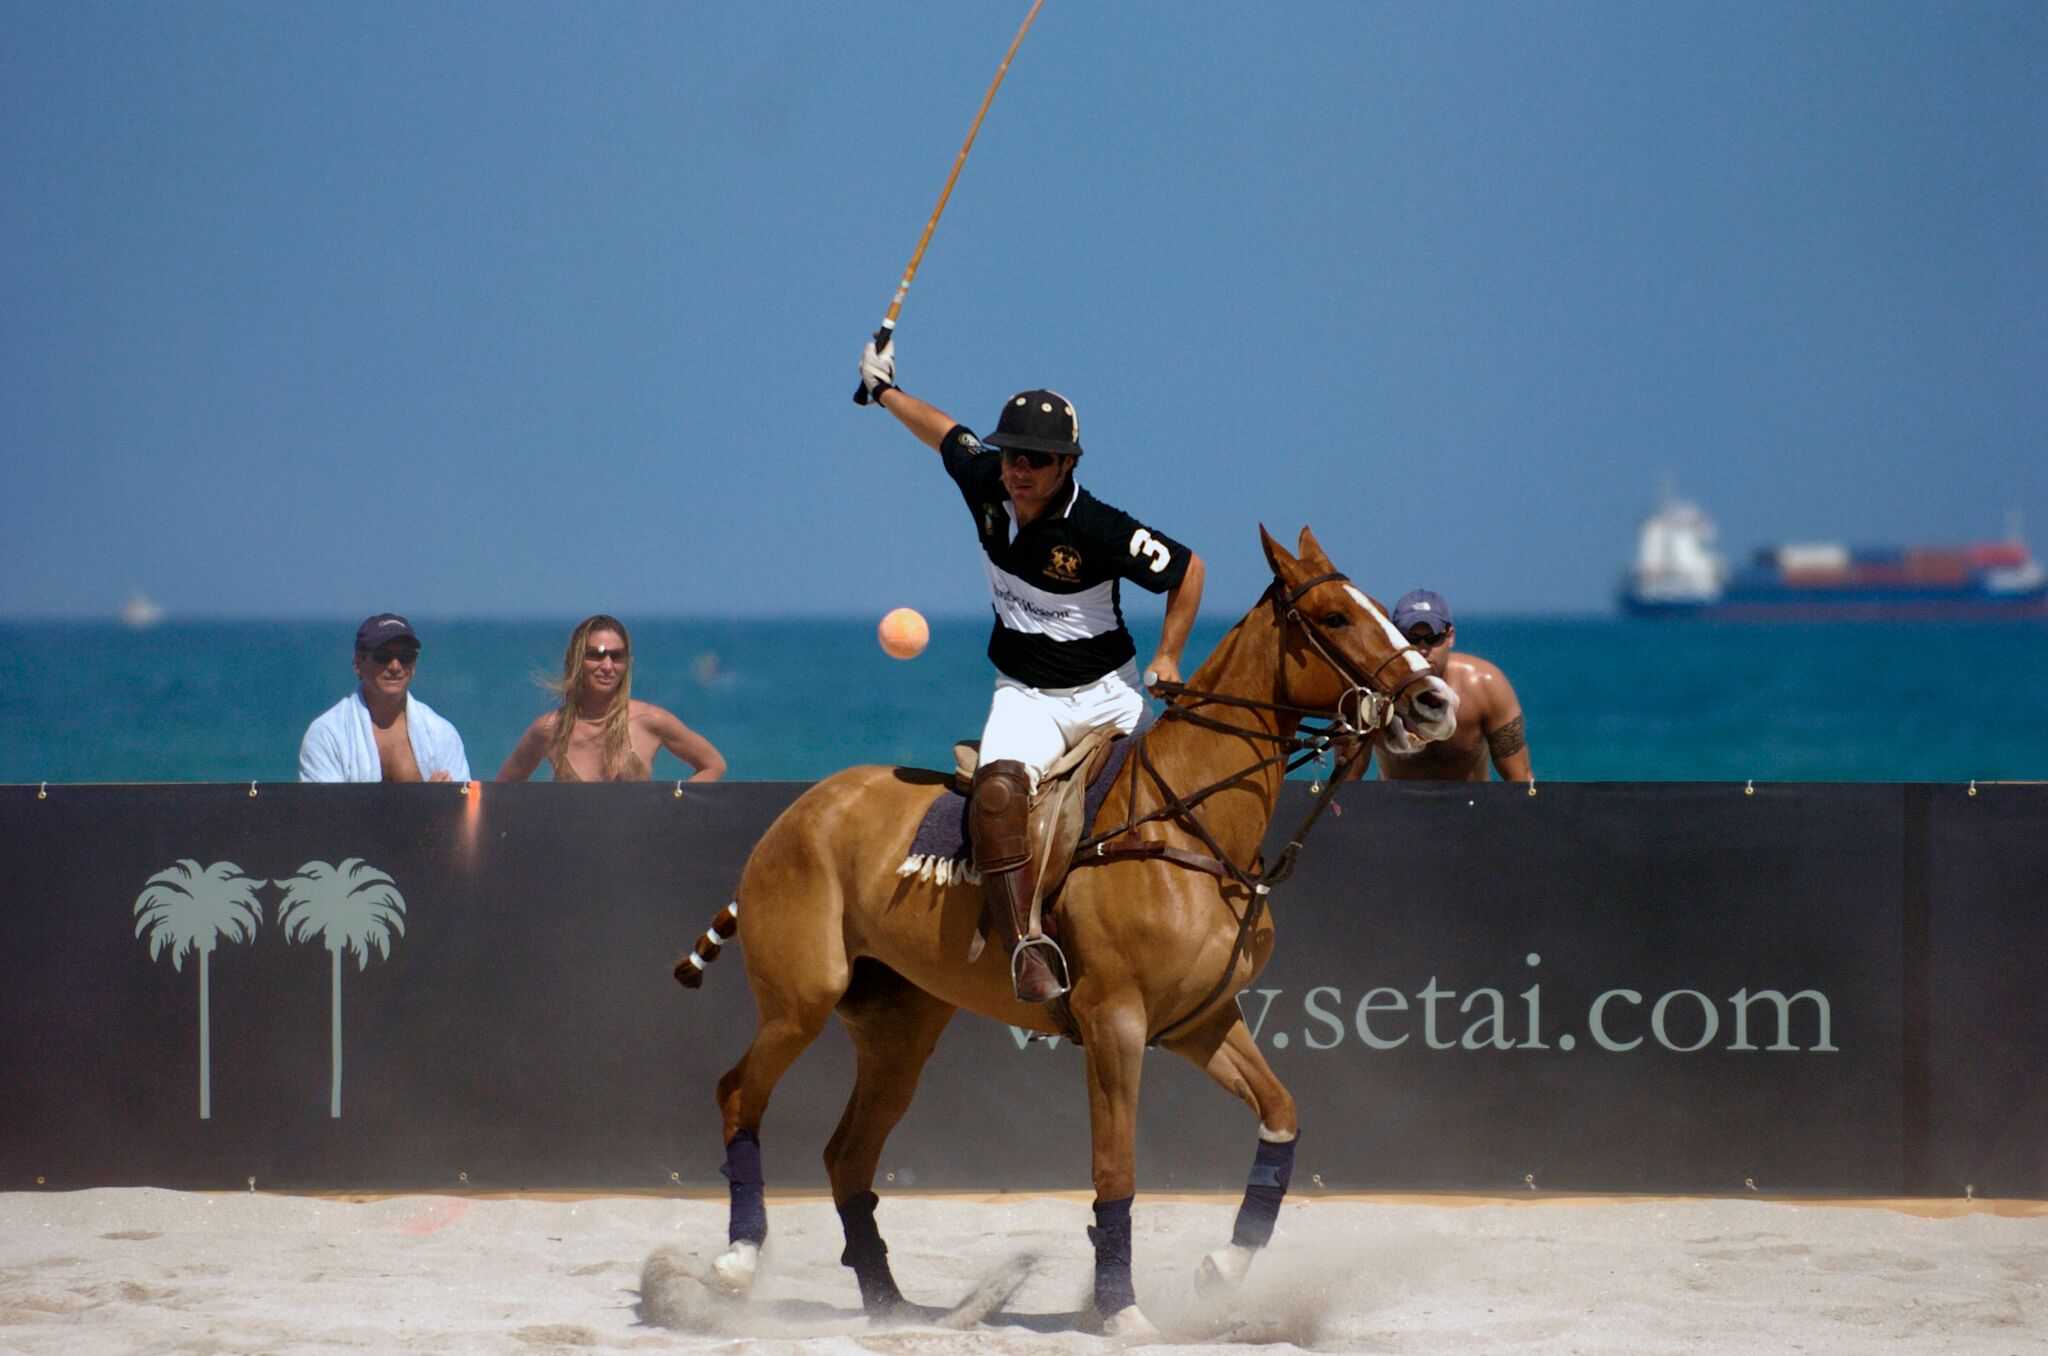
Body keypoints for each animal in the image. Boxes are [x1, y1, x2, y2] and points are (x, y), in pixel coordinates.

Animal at [671, 522, 1458, 1335]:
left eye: (1385, 611)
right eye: (1335, 616)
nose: (1436, 701)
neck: (1190, 825)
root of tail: (800, 808)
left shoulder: (1200, 1021)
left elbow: (1282, 1115)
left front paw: (1223, 1266)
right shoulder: (1115, 1021)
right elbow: (1116, 1168)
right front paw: (1121, 1309)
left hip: (900, 1029)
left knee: (846, 1154)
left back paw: (889, 1304)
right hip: (802, 996)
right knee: (739, 1093)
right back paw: (738, 1262)